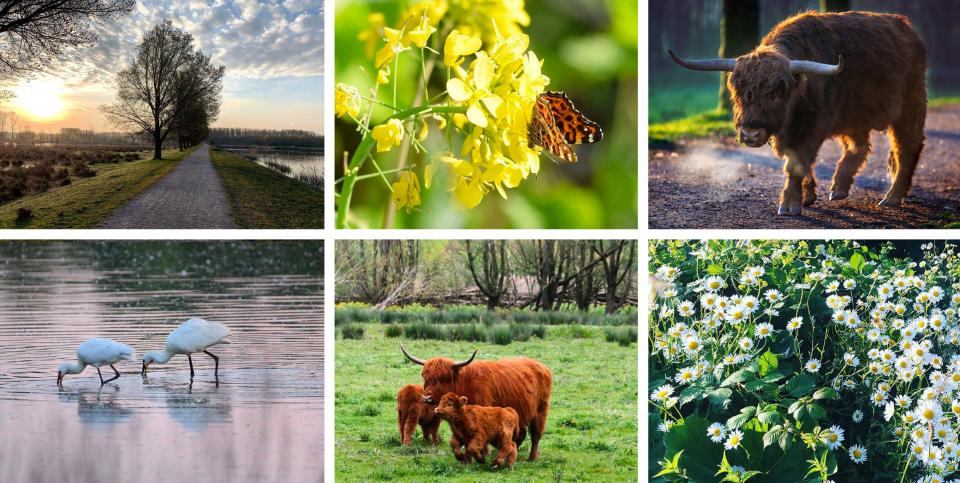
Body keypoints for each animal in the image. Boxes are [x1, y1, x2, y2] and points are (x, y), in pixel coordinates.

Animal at [398, 344, 552, 462]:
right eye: (425, 376)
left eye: (443, 378)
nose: (427, 398)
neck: (465, 385)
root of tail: (541, 366)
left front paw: (484, 454)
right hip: (520, 412)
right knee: (520, 435)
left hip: (540, 410)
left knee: (536, 434)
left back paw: (532, 458)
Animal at [672, 10, 928, 216]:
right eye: (740, 92)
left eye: (778, 91)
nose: (750, 135)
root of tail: (906, 28)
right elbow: (799, 162)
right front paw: (808, 196)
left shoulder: (813, 126)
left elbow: (796, 162)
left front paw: (789, 204)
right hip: (853, 114)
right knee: (859, 146)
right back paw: (839, 189)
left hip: (910, 106)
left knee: (906, 148)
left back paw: (892, 197)